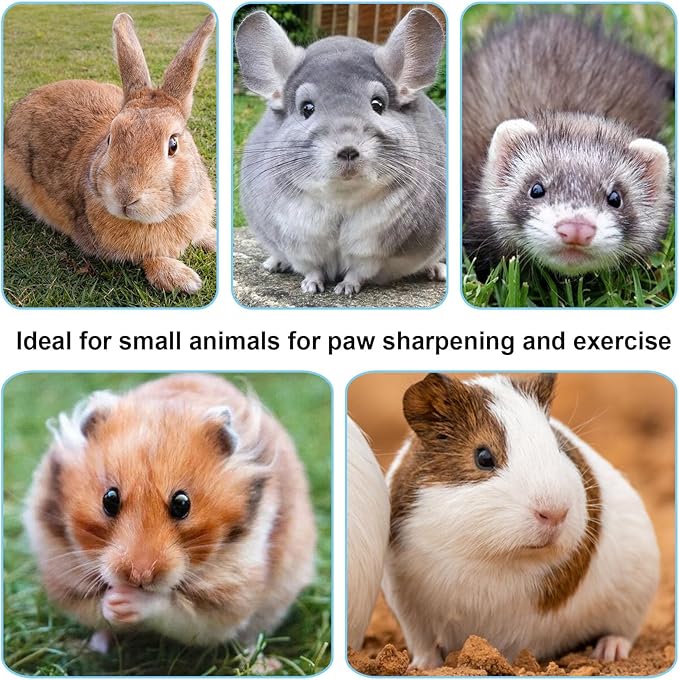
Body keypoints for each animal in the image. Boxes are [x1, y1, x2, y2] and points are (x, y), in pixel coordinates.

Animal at [23, 374, 316, 664]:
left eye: (182, 504)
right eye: (109, 499)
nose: (138, 576)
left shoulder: (228, 595)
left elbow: (173, 609)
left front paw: (128, 600)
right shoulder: (64, 573)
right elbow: (95, 607)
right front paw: (113, 603)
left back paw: (260, 663)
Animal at [235, 9, 446, 296]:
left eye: (377, 105)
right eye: (307, 108)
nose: (347, 150)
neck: (341, 198)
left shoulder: (371, 249)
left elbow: (358, 272)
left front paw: (345, 289)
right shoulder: (299, 242)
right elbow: (311, 268)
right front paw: (311, 287)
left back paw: (437, 271)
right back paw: (273, 263)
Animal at [383, 373, 659, 669]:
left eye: (558, 448)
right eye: (483, 457)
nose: (555, 513)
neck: (491, 556)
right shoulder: (410, 611)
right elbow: (424, 644)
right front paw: (421, 668)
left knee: (622, 633)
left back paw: (608, 653)